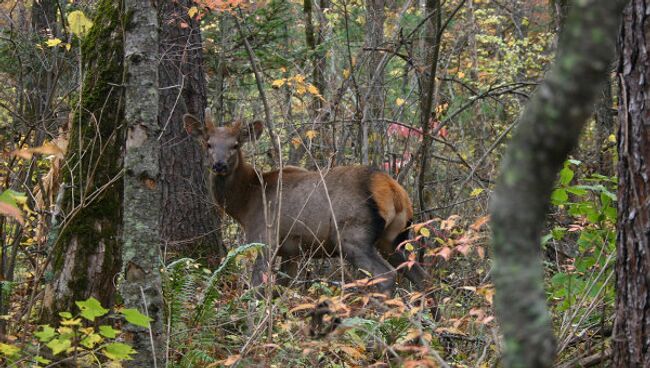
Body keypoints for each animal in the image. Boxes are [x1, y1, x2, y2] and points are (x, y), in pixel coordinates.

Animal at [184, 113, 436, 304]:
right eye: (208, 143)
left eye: (235, 145)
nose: (219, 165)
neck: (247, 202)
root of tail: (393, 190)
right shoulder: (292, 251)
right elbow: (281, 288)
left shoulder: (265, 236)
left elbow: (258, 287)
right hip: (393, 240)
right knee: (424, 278)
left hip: (353, 236)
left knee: (386, 276)